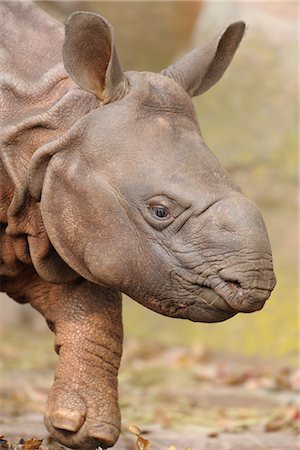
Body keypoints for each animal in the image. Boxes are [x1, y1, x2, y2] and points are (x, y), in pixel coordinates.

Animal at [0, 0, 276, 450]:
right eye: (160, 211)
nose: (256, 285)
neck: (49, 123)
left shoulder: (56, 221)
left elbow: (93, 312)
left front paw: (79, 430)